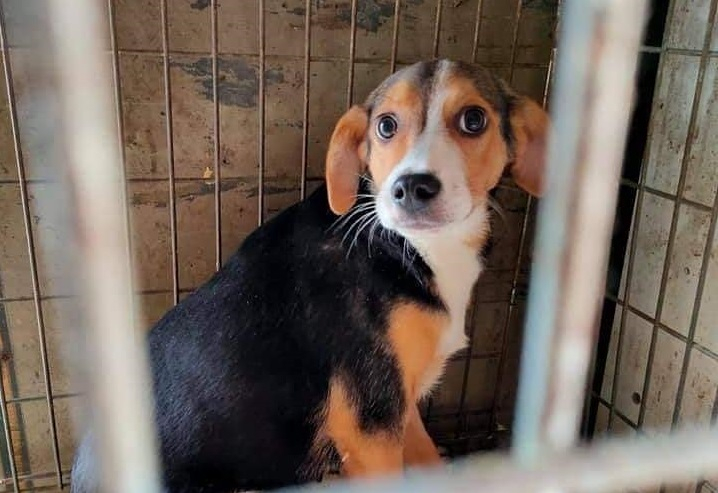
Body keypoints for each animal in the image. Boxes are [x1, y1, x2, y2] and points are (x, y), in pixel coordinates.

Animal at [70, 59, 548, 493]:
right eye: (386, 126)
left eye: (474, 119)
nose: (411, 187)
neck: (410, 247)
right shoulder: (370, 423)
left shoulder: (400, 406)